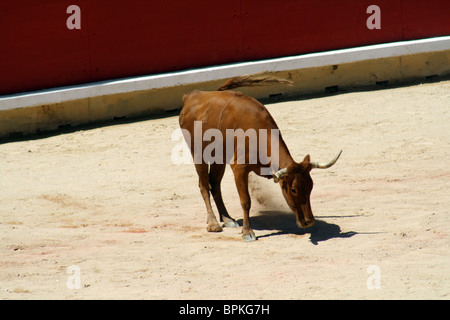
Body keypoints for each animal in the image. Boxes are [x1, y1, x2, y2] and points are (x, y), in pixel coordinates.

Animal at [179, 74, 342, 240]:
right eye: (294, 190)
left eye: (311, 186)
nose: (309, 221)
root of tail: (191, 96)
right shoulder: (239, 169)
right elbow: (245, 201)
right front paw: (248, 232)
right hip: (198, 153)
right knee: (204, 185)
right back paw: (213, 223)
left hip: (219, 158)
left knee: (215, 184)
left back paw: (227, 219)